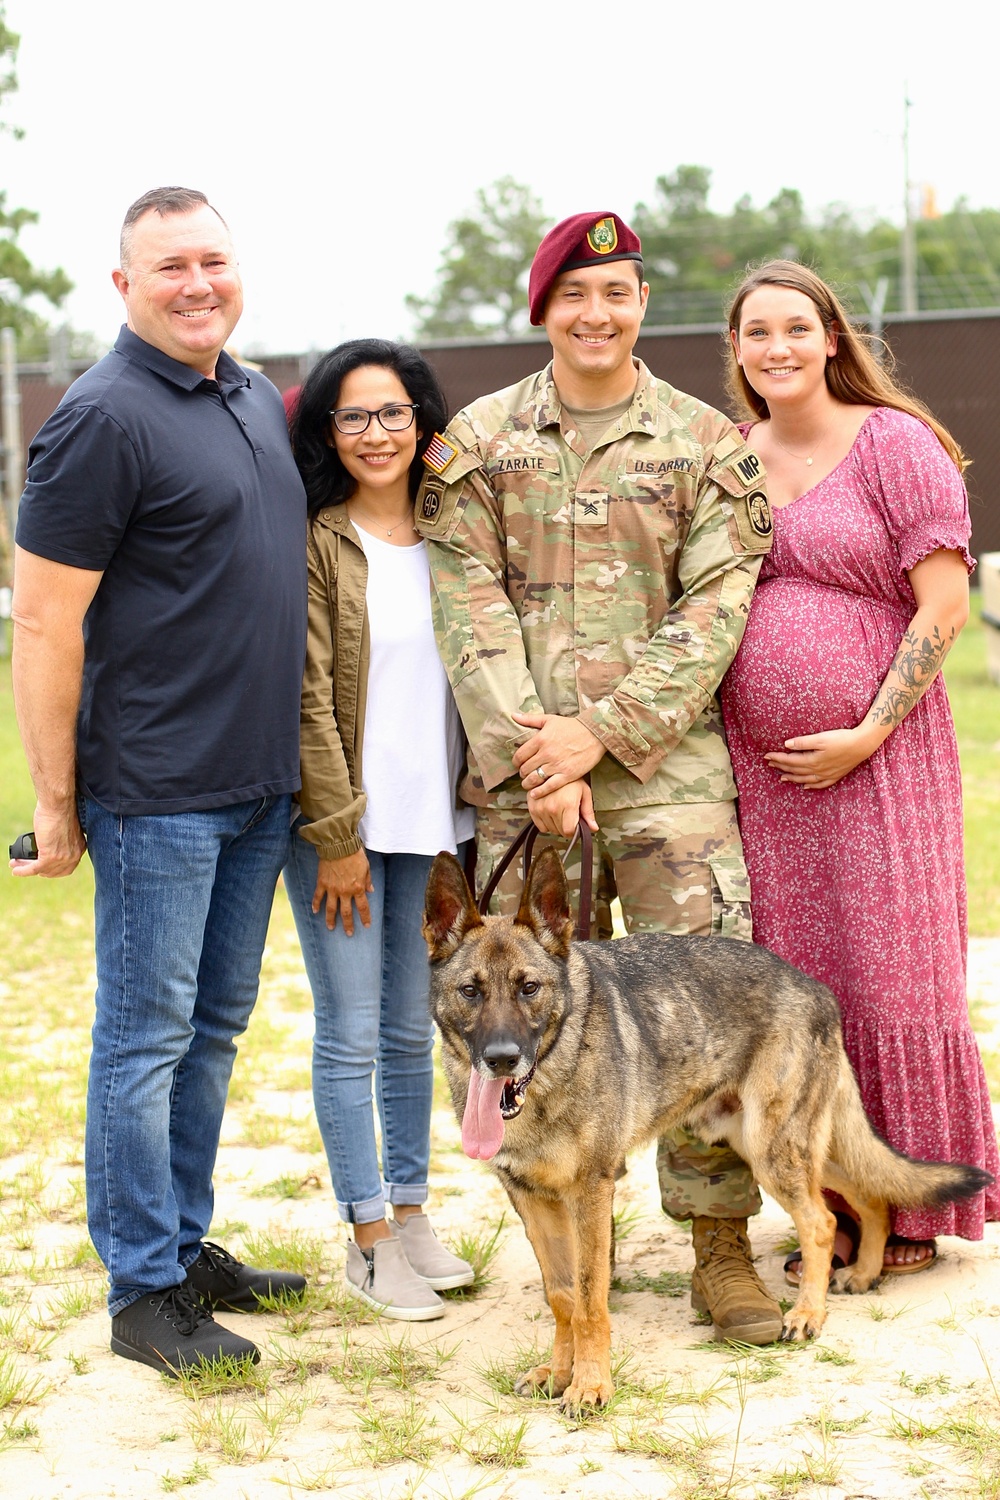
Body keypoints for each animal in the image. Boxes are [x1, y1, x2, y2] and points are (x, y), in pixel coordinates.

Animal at [422, 852, 995, 1410]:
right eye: (470, 991)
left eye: (529, 988)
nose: (501, 1059)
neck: (550, 1075)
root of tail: (816, 988)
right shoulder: (534, 1200)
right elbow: (561, 1295)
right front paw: (560, 1374)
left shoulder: (590, 1193)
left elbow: (589, 1299)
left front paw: (590, 1386)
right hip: (785, 1146)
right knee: (870, 1197)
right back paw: (864, 1272)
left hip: (773, 1151)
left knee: (823, 1221)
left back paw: (808, 1314)